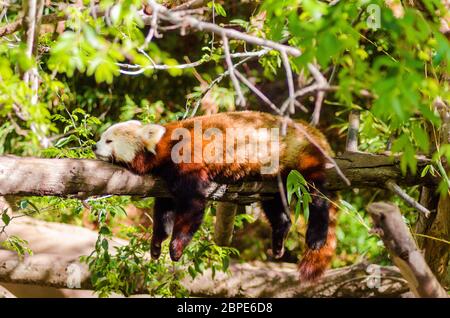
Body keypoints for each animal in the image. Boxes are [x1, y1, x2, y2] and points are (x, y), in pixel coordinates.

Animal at [95, 111, 340, 280]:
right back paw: (280, 235)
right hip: (275, 178)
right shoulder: (164, 181)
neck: (163, 147)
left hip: (298, 158)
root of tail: (307, 129)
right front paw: (156, 243)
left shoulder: (187, 160)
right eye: (102, 137)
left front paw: (176, 246)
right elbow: (164, 210)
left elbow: (192, 207)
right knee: (275, 205)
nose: (95, 147)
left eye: (109, 140)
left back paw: (317, 235)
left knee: (316, 195)